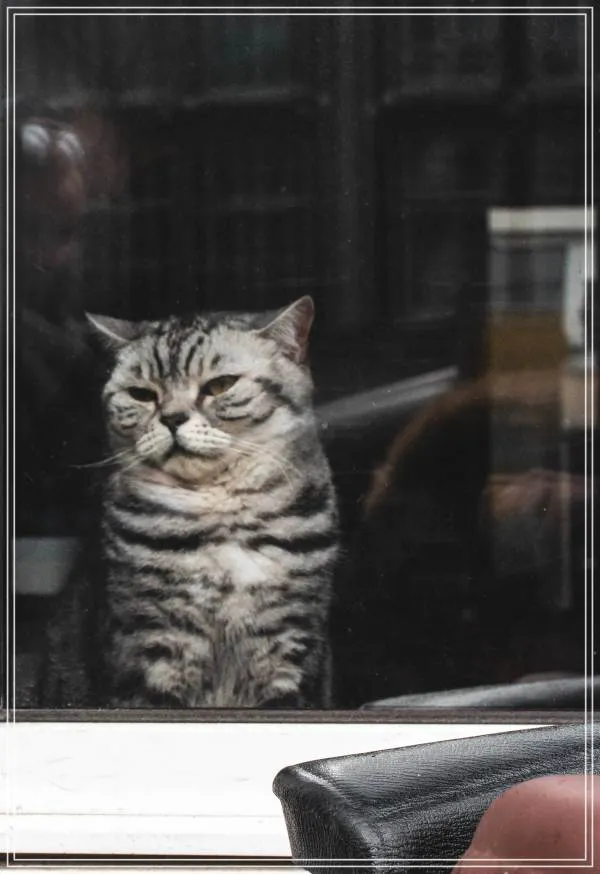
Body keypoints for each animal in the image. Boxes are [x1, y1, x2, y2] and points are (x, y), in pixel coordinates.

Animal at [38, 296, 339, 709]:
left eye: (220, 385)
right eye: (142, 394)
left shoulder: (290, 646)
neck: (219, 511)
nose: (172, 418)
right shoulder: (152, 644)